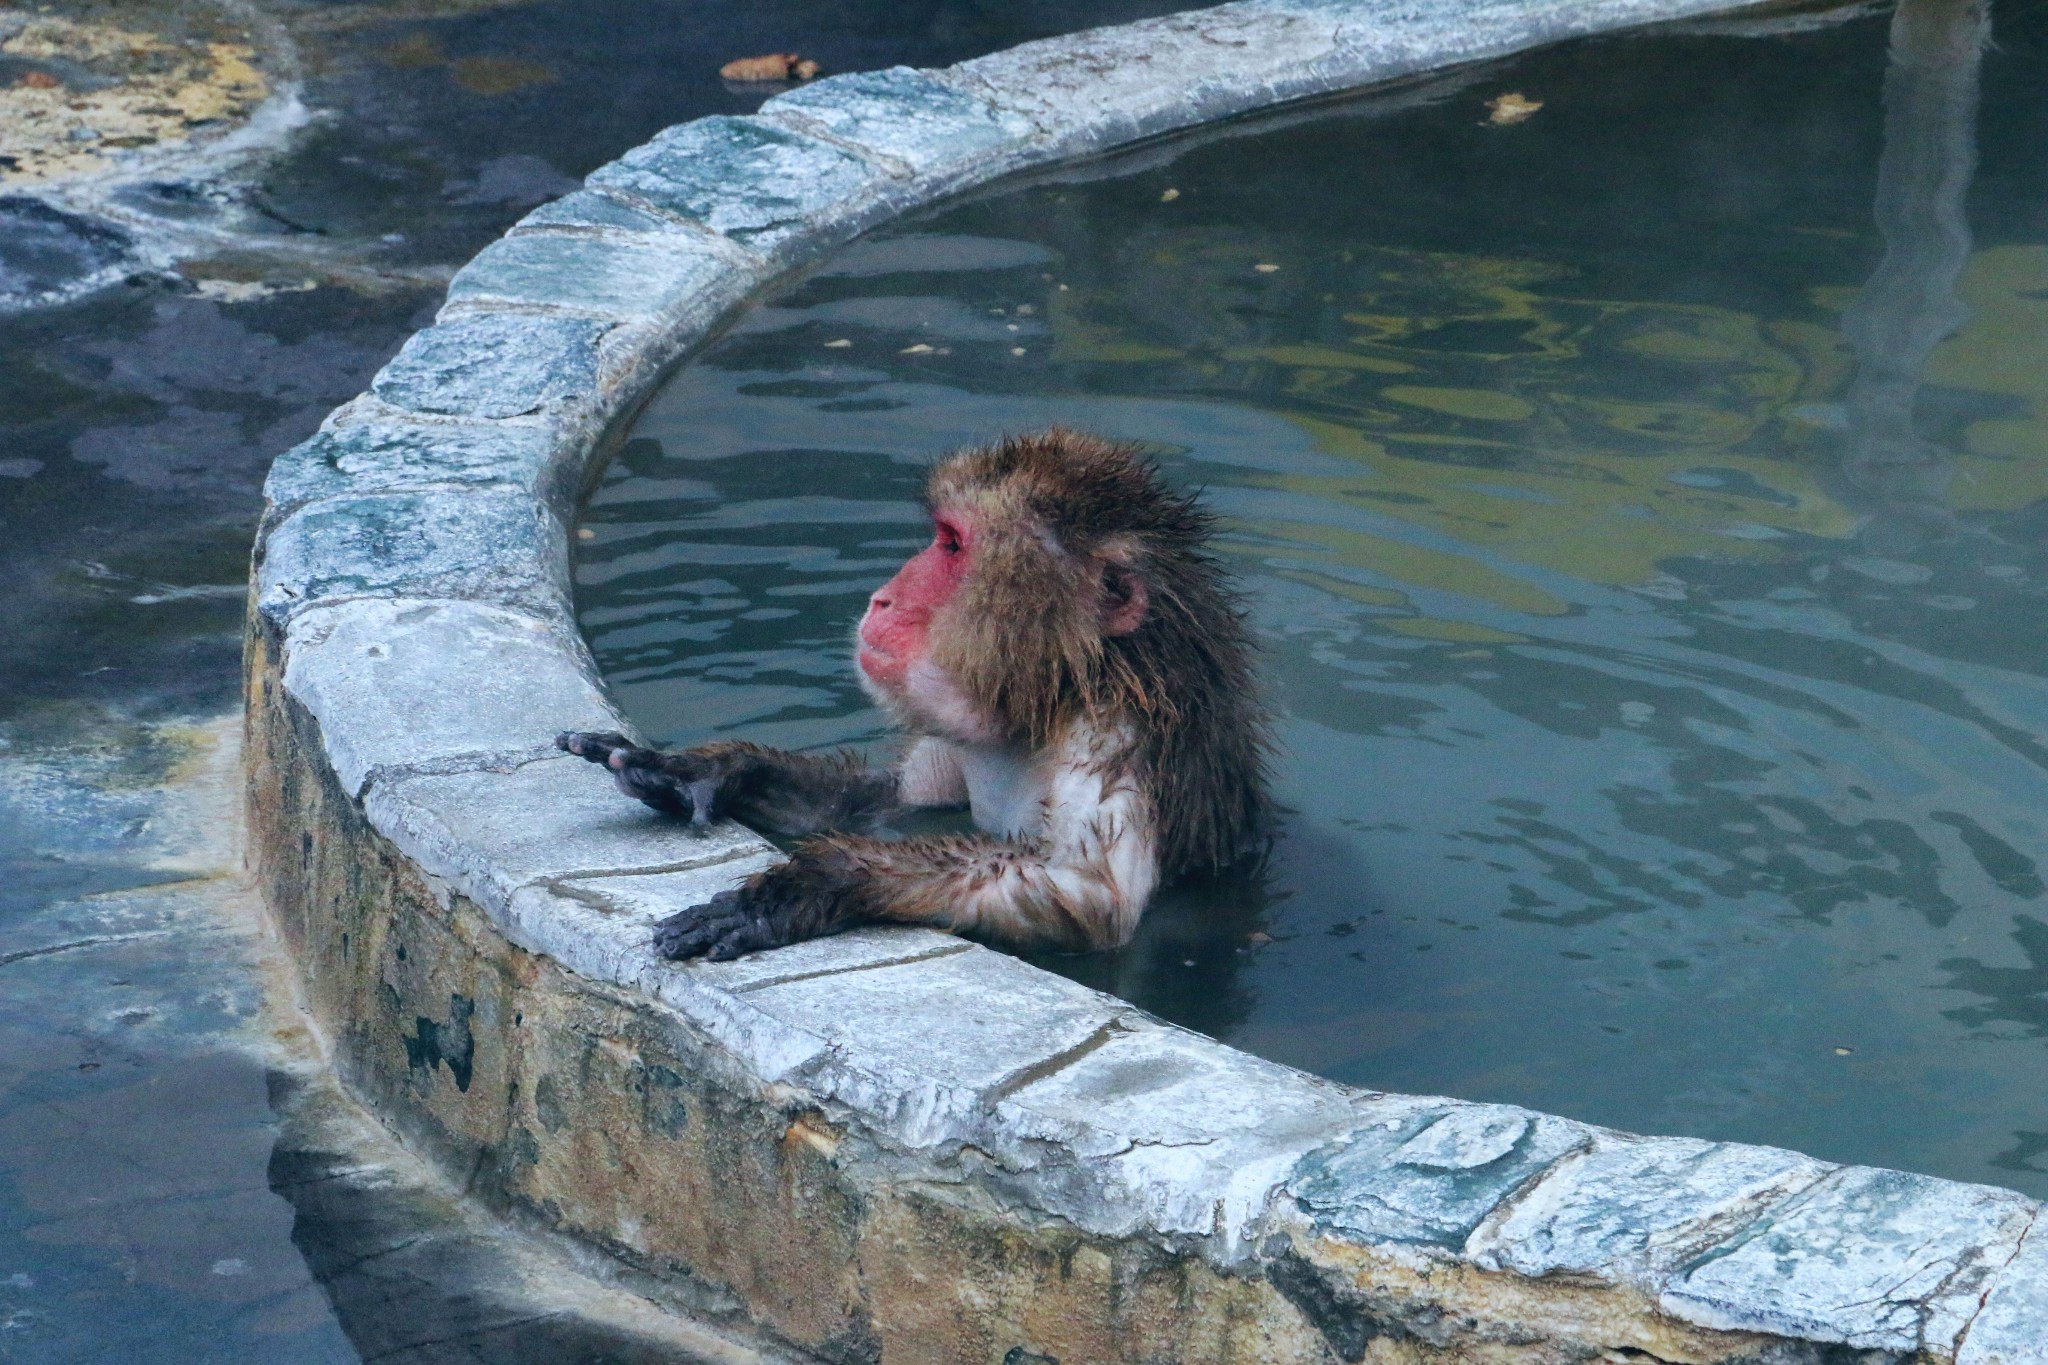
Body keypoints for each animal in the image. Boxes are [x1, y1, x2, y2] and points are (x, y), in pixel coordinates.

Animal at [557, 429, 1261, 961]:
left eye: (951, 544)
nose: (884, 598)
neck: (1060, 693)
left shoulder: (1116, 737)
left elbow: (1087, 900)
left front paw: (817, 882)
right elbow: (893, 800)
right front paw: (701, 770)